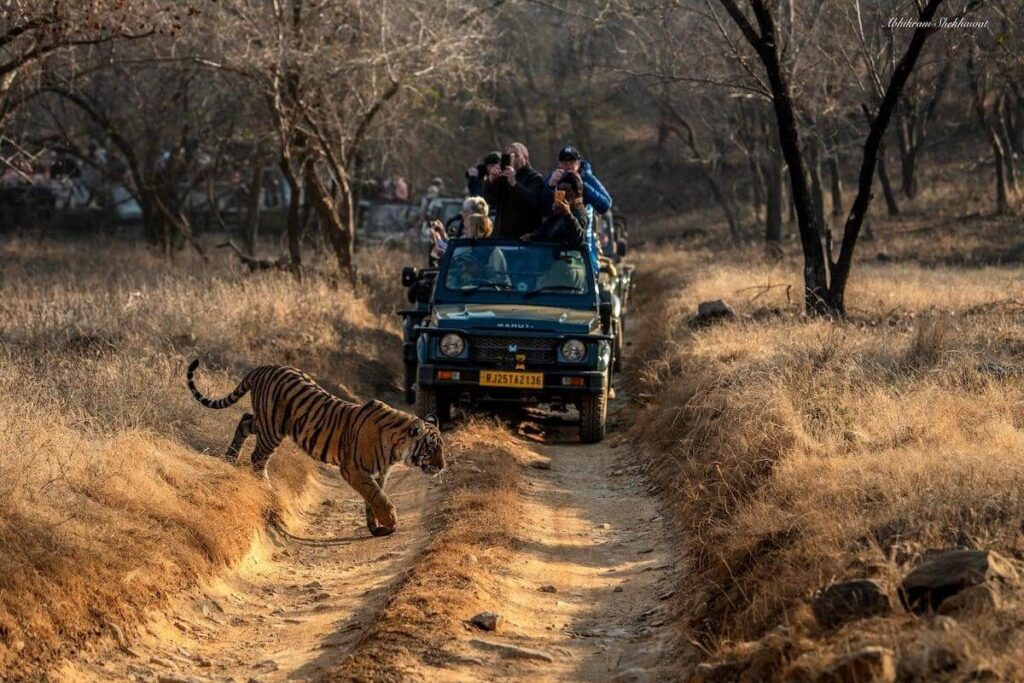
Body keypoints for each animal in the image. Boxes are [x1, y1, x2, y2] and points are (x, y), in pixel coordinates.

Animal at [186, 359, 444, 537]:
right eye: (431, 449)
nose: (442, 467)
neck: (398, 448)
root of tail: (262, 367)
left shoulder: (378, 474)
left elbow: (372, 500)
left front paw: (377, 528)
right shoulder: (355, 470)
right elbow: (377, 497)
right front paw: (390, 521)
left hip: (265, 422)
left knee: (244, 420)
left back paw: (231, 457)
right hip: (272, 429)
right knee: (257, 457)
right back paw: (267, 489)